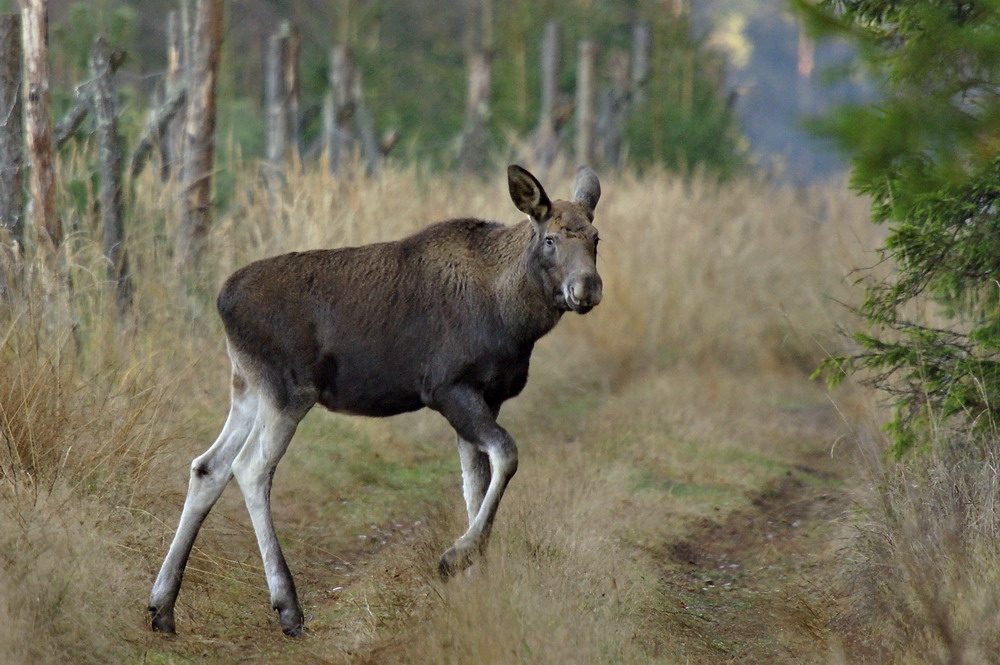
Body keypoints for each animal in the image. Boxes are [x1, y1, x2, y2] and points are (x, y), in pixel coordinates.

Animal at [146, 163, 600, 636]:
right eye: (551, 238)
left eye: (595, 237)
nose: (587, 288)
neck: (514, 317)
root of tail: (221, 301)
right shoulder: (448, 389)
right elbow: (506, 456)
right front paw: (456, 557)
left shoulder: (487, 397)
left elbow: (475, 482)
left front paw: (478, 577)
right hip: (288, 391)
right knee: (250, 468)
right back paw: (287, 605)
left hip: (247, 388)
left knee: (208, 466)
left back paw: (163, 605)